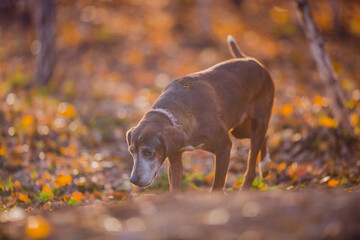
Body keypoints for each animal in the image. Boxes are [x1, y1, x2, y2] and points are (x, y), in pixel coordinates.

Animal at [125, 35, 274, 192]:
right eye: (131, 151)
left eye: (148, 152)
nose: (133, 180)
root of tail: (252, 60)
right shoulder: (174, 156)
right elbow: (175, 189)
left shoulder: (224, 148)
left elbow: (217, 186)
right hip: (240, 129)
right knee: (265, 135)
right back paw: (265, 166)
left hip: (257, 121)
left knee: (251, 166)